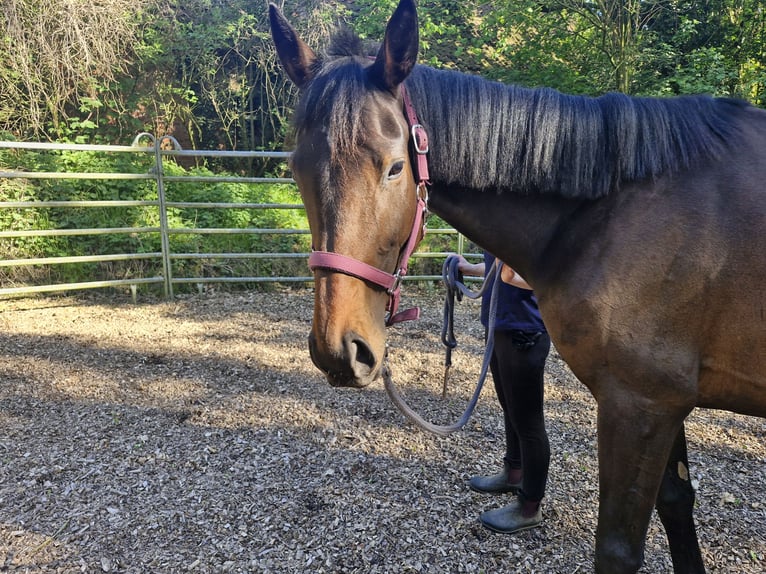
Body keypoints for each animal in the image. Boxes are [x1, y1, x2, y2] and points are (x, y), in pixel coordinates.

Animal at [268, 0, 766, 572]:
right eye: (296, 168)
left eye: (394, 168)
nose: (339, 350)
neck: (616, 212)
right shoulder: (665, 403)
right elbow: (678, 504)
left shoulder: (638, 404)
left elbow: (618, 548)